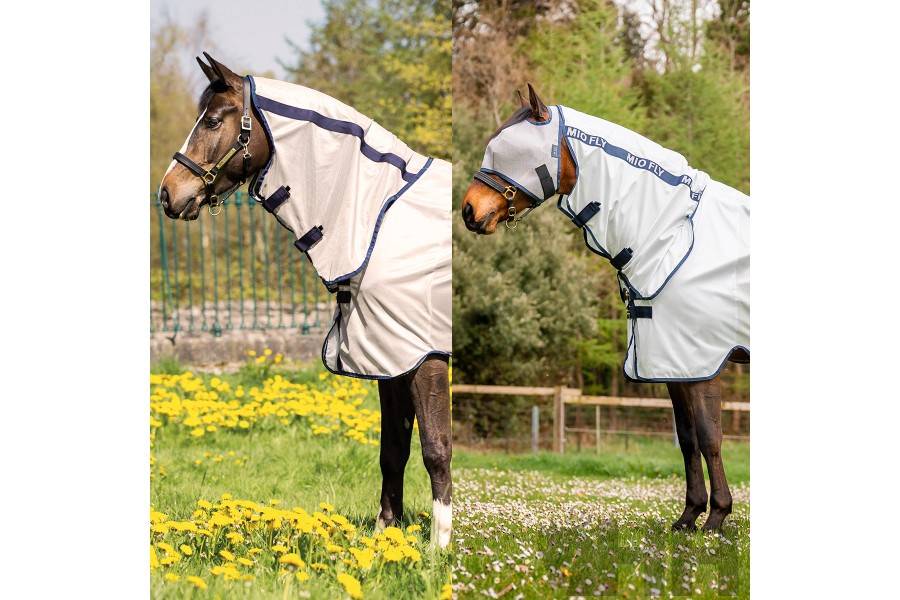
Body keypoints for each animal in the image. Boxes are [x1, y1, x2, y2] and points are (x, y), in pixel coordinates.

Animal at [157, 53, 453, 547]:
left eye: (213, 121)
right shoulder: (389, 356)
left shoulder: (425, 354)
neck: (379, 219)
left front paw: (440, 548)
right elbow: (392, 450)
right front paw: (385, 540)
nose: (167, 193)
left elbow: (436, 447)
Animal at [460, 83, 750, 532]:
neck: (674, 235)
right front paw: (688, 518)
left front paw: (717, 517)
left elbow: (709, 437)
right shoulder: (671, 364)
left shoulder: (702, 361)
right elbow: (686, 439)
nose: (469, 211)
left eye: (508, 151)